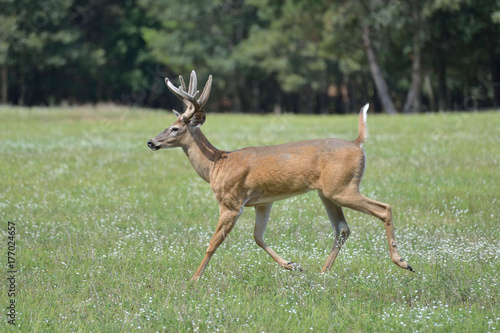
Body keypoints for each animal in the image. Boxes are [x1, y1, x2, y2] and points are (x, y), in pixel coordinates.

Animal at [146, 70, 412, 280]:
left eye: (175, 128)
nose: (151, 142)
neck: (216, 166)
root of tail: (358, 143)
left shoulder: (231, 201)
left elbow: (213, 243)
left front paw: (194, 278)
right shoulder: (263, 202)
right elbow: (258, 237)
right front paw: (293, 265)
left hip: (342, 188)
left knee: (384, 208)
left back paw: (402, 262)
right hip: (328, 192)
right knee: (342, 228)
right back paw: (323, 271)